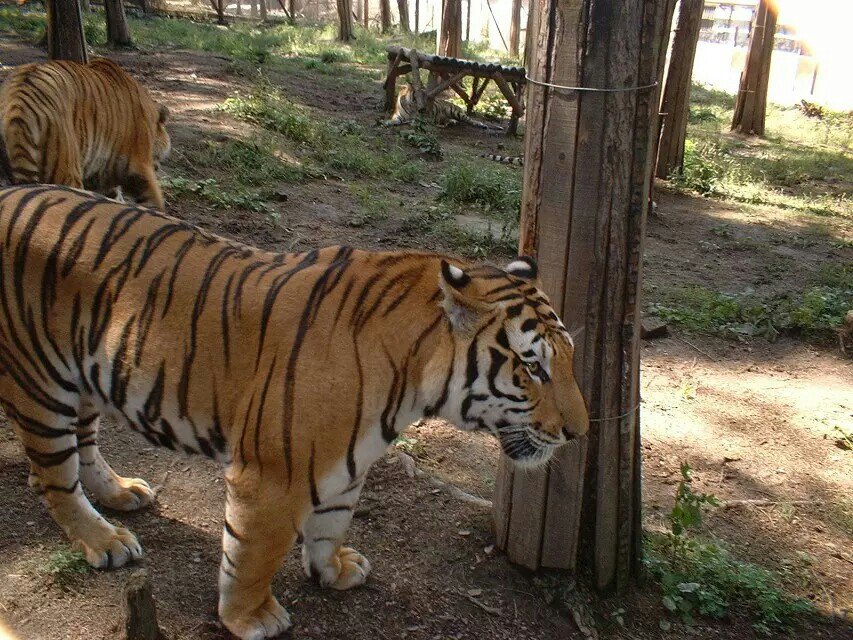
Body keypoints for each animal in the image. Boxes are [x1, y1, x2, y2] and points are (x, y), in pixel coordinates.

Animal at [0, 184, 584, 640]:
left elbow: (333, 521)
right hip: (41, 383)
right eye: (533, 367)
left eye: (568, 358)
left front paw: (334, 569)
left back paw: (120, 494)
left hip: (87, 375)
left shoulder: (349, 460)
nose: (577, 433)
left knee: (85, 444)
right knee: (54, 477)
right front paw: (250, 617)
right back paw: (104, 539)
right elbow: (254, 551)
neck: (413, 381)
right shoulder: (270, 474)